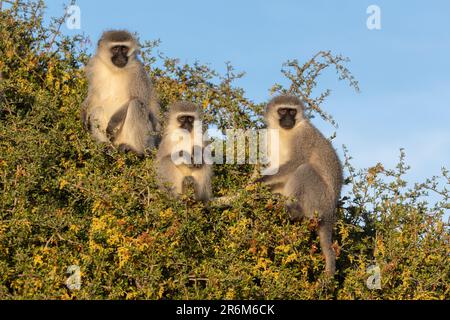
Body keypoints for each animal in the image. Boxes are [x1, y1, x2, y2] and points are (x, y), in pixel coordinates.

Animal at [258, 94, 342, 276]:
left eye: (292, 111)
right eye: (282, 111)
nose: (288, 119)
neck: (284, 132)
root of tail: (330, 211)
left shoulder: (303, 137)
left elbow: (296, 162)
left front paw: (256, 182)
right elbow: (276, 168)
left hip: (319, 200)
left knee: (304, 169)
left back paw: (294, 210)